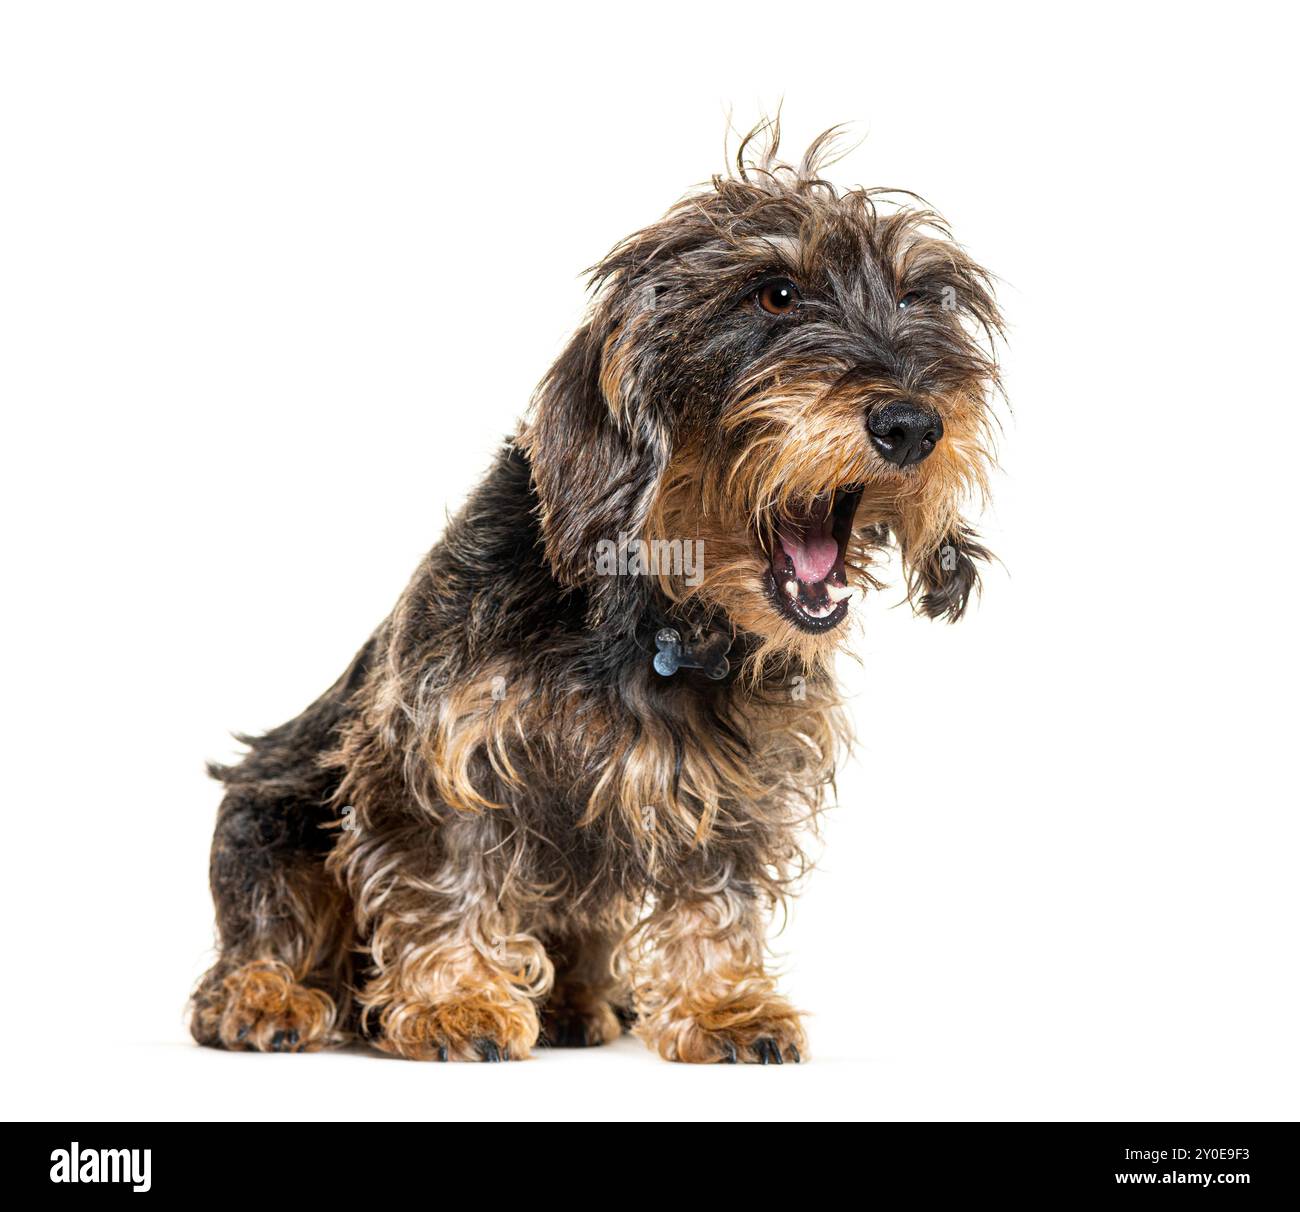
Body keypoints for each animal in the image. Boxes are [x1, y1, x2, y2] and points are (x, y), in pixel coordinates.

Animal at [189, 122, 1003, 1061]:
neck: (657, 618)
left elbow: (715, 898)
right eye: (775, 294)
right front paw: (453, 1000)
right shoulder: (431, 745)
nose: (913, 425)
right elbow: (443, 873)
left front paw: (723, 1005)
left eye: (917, 298)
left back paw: (575, 1003)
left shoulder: (736, 790)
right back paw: (263, 995)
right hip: (270, 809)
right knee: (263, 928)